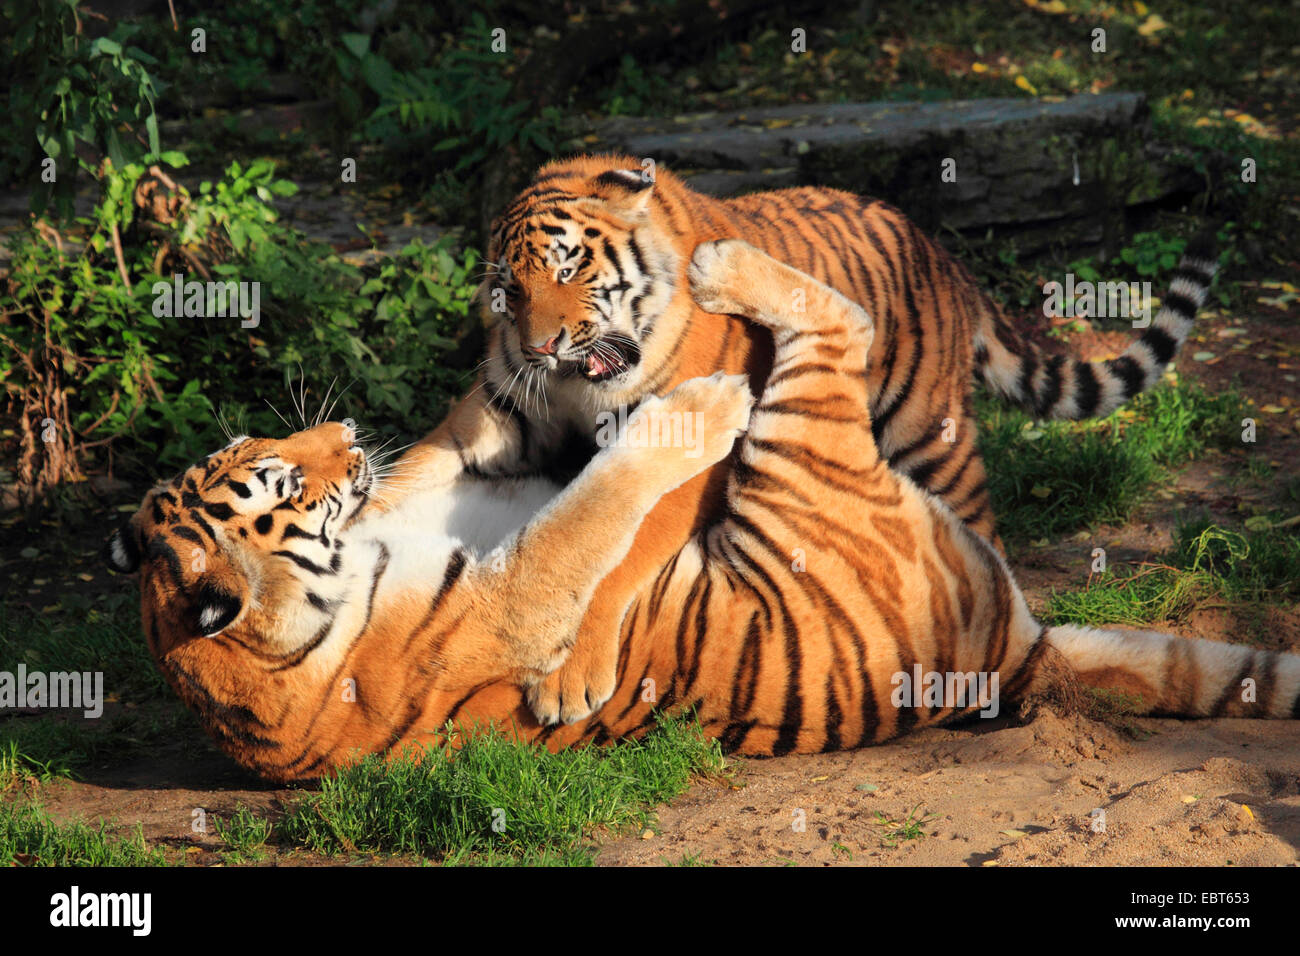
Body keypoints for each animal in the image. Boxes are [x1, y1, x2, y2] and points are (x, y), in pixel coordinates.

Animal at [104, 239, 1299, 784]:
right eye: (283, 484)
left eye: (256, 454)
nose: (342, 435)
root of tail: (1015, 651)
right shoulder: (512, 595)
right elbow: (588, 513)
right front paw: (688, 408)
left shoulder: (439, 493)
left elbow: (457, 456)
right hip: (805, 458)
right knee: (840, 323)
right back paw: (721, 291)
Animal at [378, 153, 1220, 725]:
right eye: (508, 290)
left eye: (569, 267)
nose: (540, 346)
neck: (584, 384)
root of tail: (939, 248)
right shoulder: (493, 420)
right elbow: (413, 471)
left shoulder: (692, 460)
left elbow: (627, 552)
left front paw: (569, 676)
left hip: (930, 438)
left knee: (985, 541)